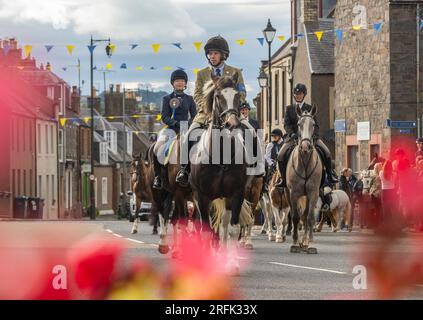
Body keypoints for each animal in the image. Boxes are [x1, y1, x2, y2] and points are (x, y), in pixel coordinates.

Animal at [190, 74, 252, 272]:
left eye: (238, 95)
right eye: (218, 96)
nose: (232, 124)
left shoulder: (236, 194)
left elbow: (231, 230)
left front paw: (231, 264)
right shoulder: (202, 196)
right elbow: (207, 231)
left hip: (225, 198)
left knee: (223, 227)